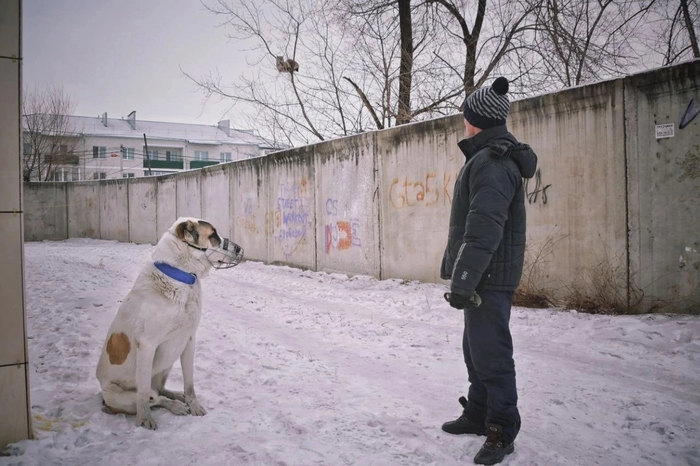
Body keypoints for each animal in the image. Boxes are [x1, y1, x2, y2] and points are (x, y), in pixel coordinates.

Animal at [96, 217, 243, 430]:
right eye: (213, 234)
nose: (239, 248)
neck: (179, 276)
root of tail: (103, 396)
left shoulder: (188, 340)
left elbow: (189, 383)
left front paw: (194, 405)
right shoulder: (147, 345)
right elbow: (143, 395)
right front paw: (144, 420)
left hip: (168, 359)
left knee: (160, 391)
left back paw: (177, 398)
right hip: (119, 395)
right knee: (153, 397)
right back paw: (173, 406)